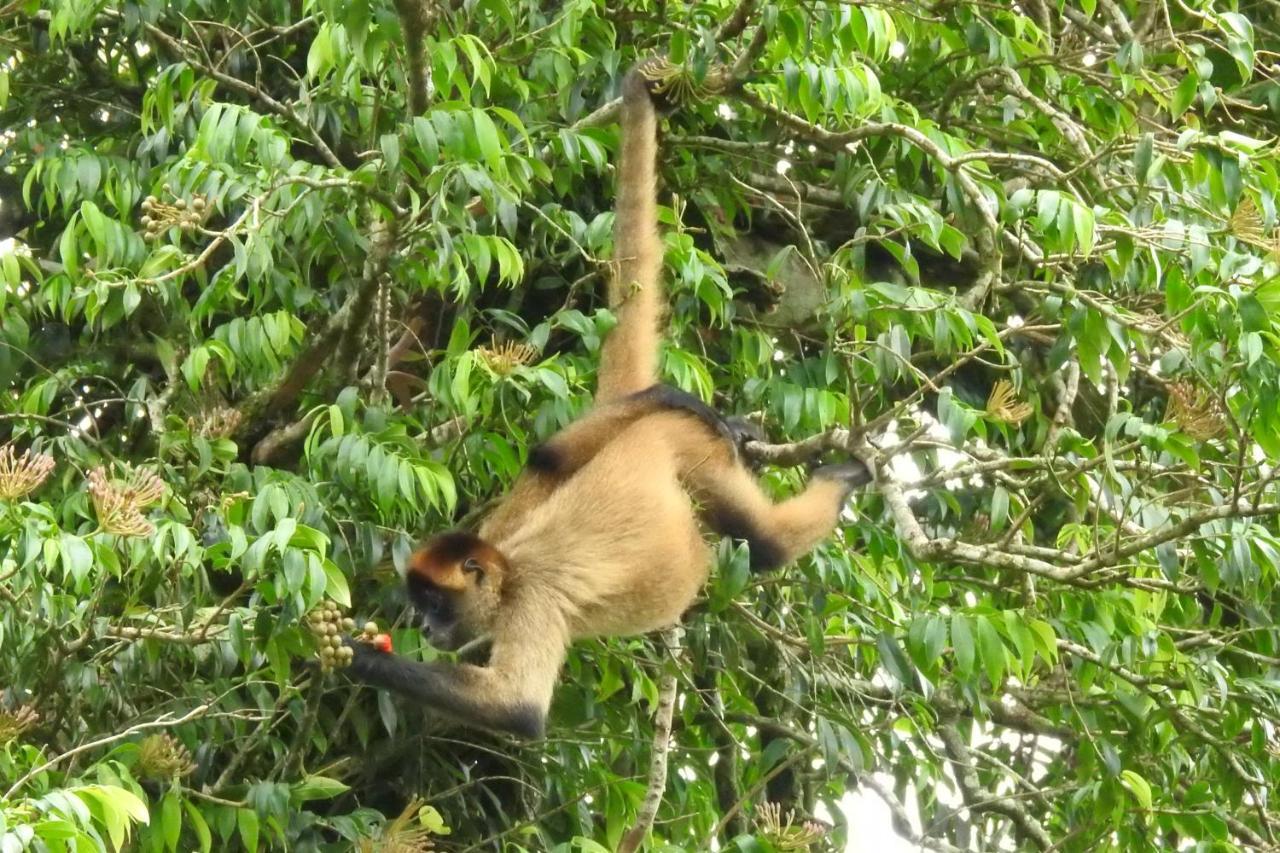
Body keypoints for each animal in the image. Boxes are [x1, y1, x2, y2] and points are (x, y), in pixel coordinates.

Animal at [340, 61, 875, 737]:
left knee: (767, 543)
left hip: (694, 452)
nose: (425, 626)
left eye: (436, 602)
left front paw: (352, 657)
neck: (509, 569)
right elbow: (544, 457)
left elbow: (517, 709)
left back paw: (835, 474)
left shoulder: (533, 599)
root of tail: (644, 435)